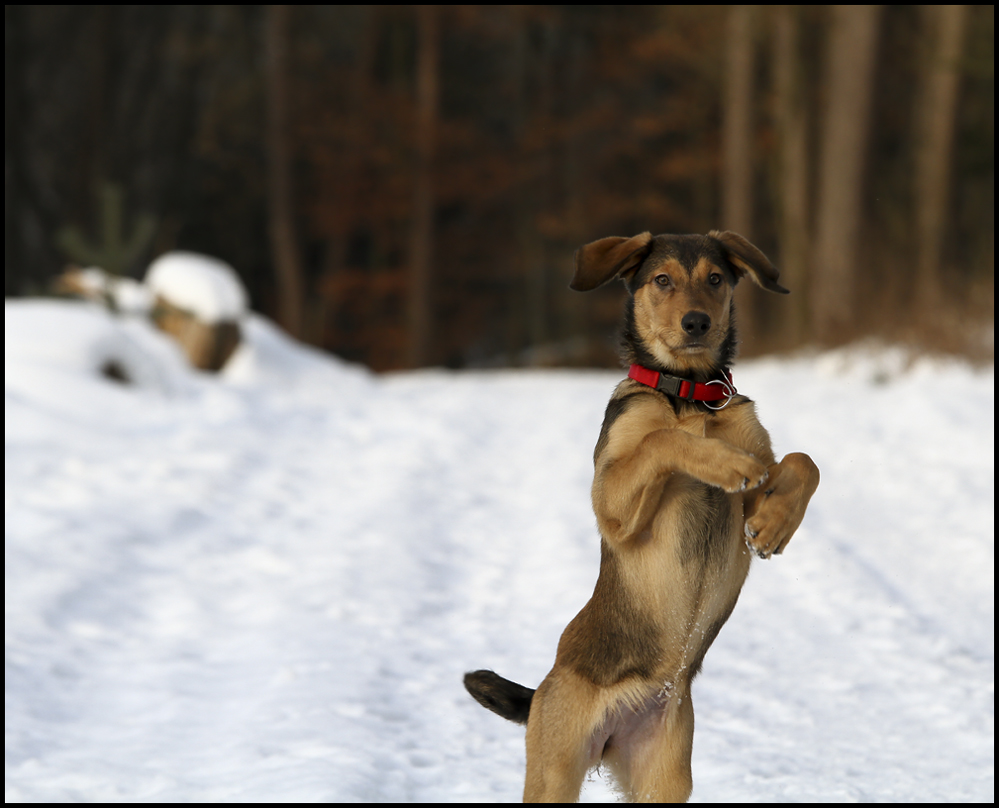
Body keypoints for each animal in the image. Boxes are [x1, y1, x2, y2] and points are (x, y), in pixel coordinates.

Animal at [462, 230, 820, 804]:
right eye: (662, 280)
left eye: (715, 279)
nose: (696, 322)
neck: (690, 395)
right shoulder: (610, 500)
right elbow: (661, 439)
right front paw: (720, 461)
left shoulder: (754, 484)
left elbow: (802, 462)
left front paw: (774, 526)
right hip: (556, 764)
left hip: (664, 775)